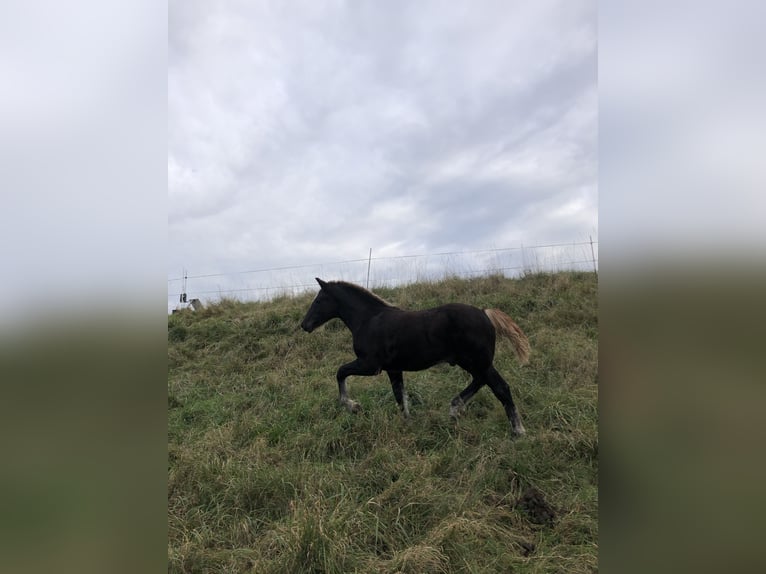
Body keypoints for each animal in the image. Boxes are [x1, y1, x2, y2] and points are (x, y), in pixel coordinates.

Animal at [300, 278, 531, 435]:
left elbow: (340, 372)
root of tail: (484, 313)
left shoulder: (370, 365)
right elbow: (400, 396)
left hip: (477, 362)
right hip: (474, 362)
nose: (304, 325)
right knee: (482, 381)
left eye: (319, 300)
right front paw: (407, 424)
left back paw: (517, 430)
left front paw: (352, 406)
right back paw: (455, 408)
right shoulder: (393, 369)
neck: (368, 320)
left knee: (500, 387)